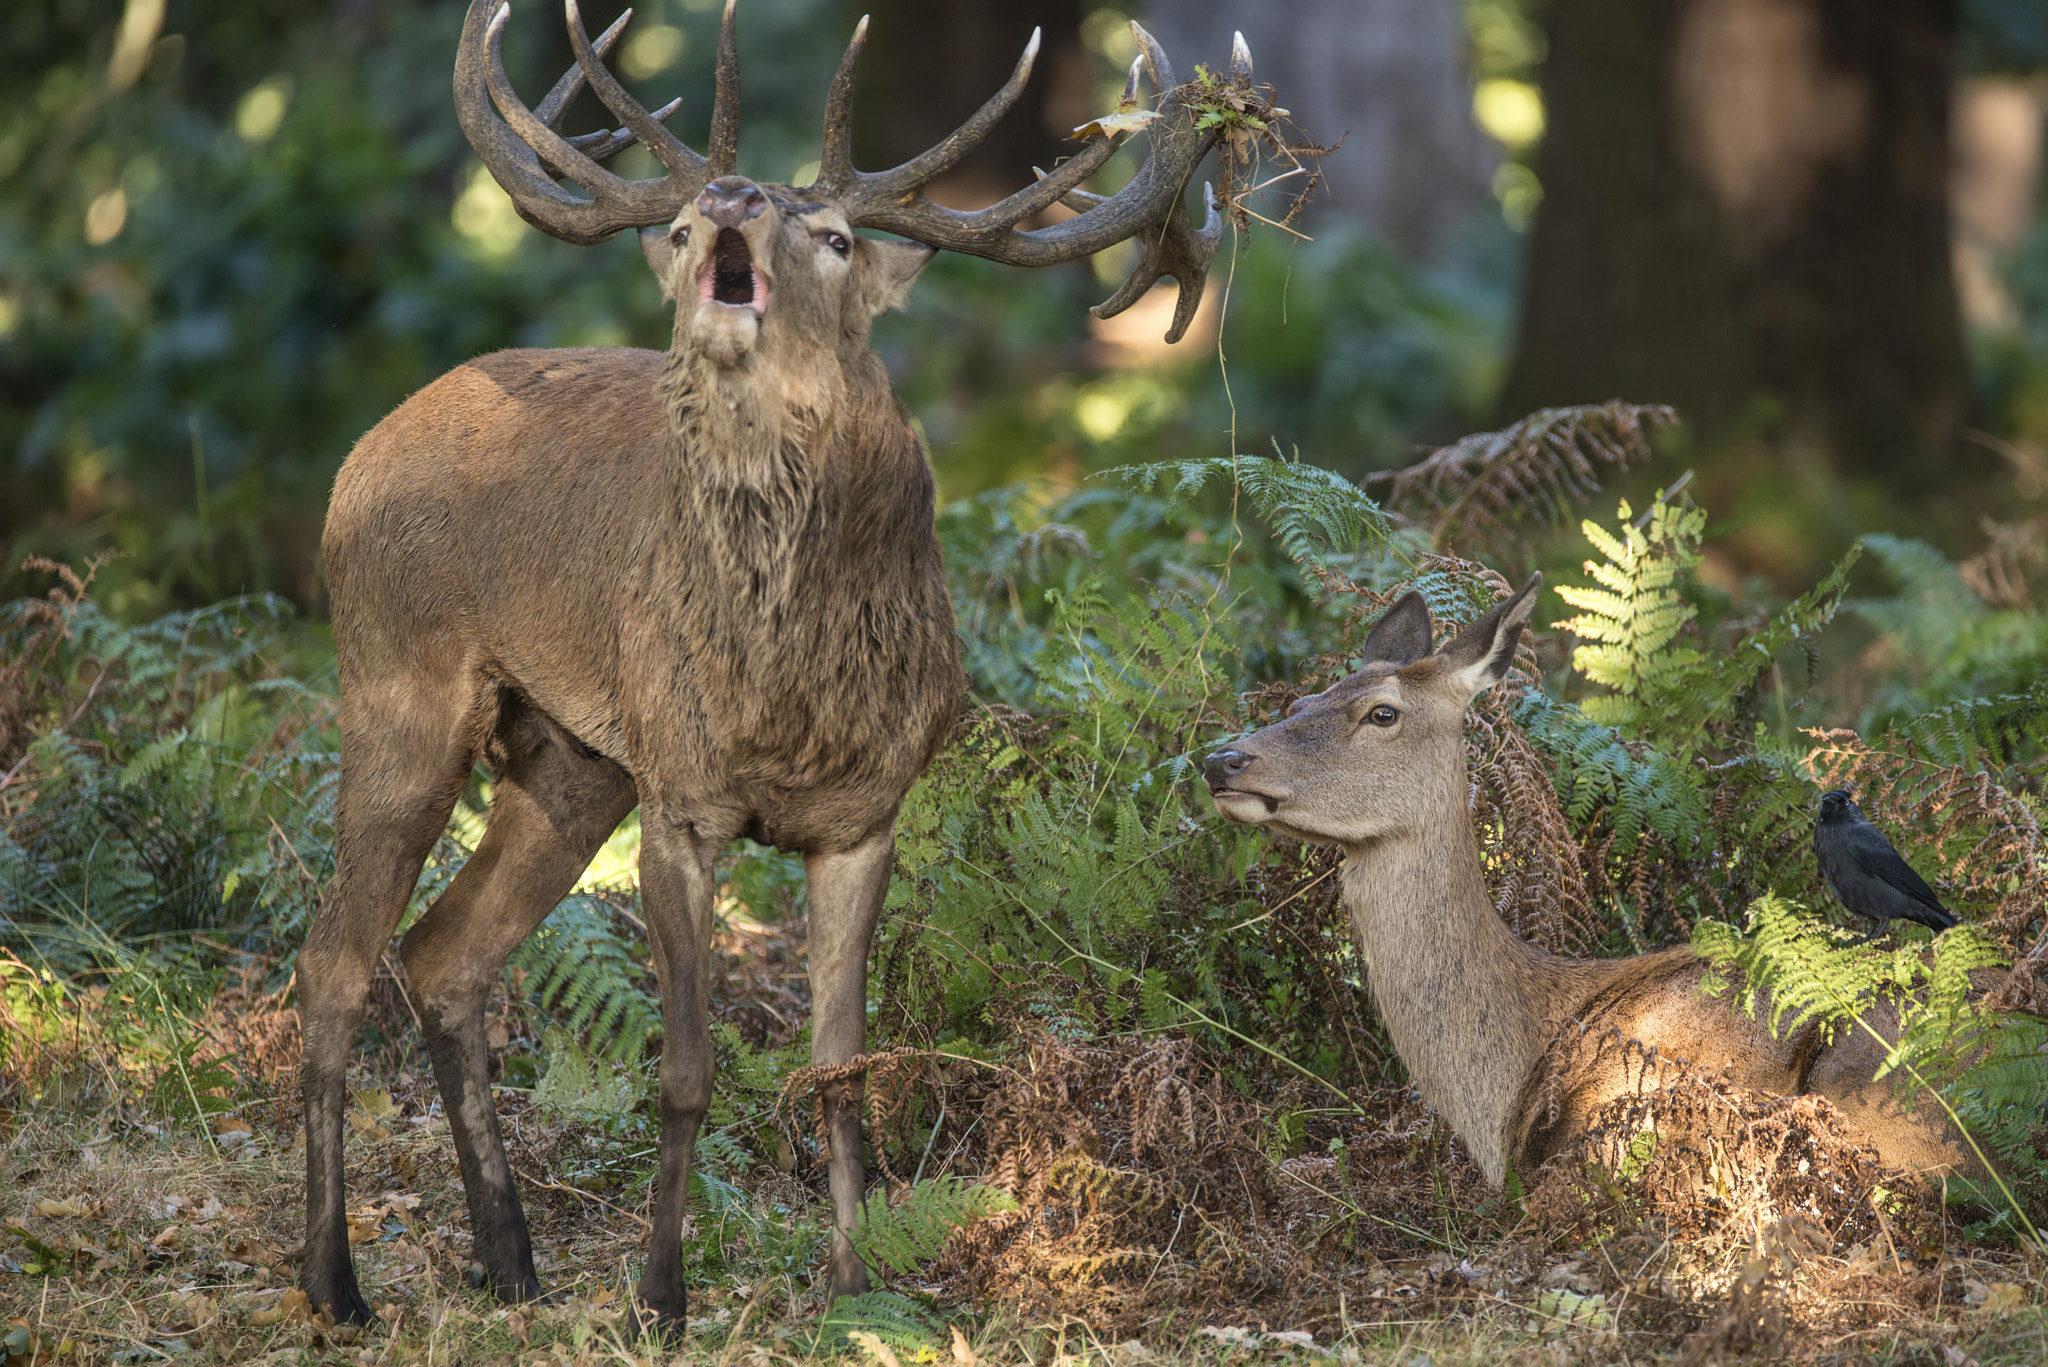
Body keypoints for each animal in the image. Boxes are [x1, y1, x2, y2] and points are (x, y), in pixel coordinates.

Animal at [300, 0, 1244, 1333]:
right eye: (677, 229)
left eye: (839, 238)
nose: (730, 198)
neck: (789, 697)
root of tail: (365, 448)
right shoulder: (684, 799)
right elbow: (685, 1070)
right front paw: (659, 1294)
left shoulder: (866, 813)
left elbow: (840, 1062)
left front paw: (854, 1287)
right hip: (398, 681)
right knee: (331, 962)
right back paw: (334, 1278)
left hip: (574, 758)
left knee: (443, 951)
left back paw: (511, 1259)